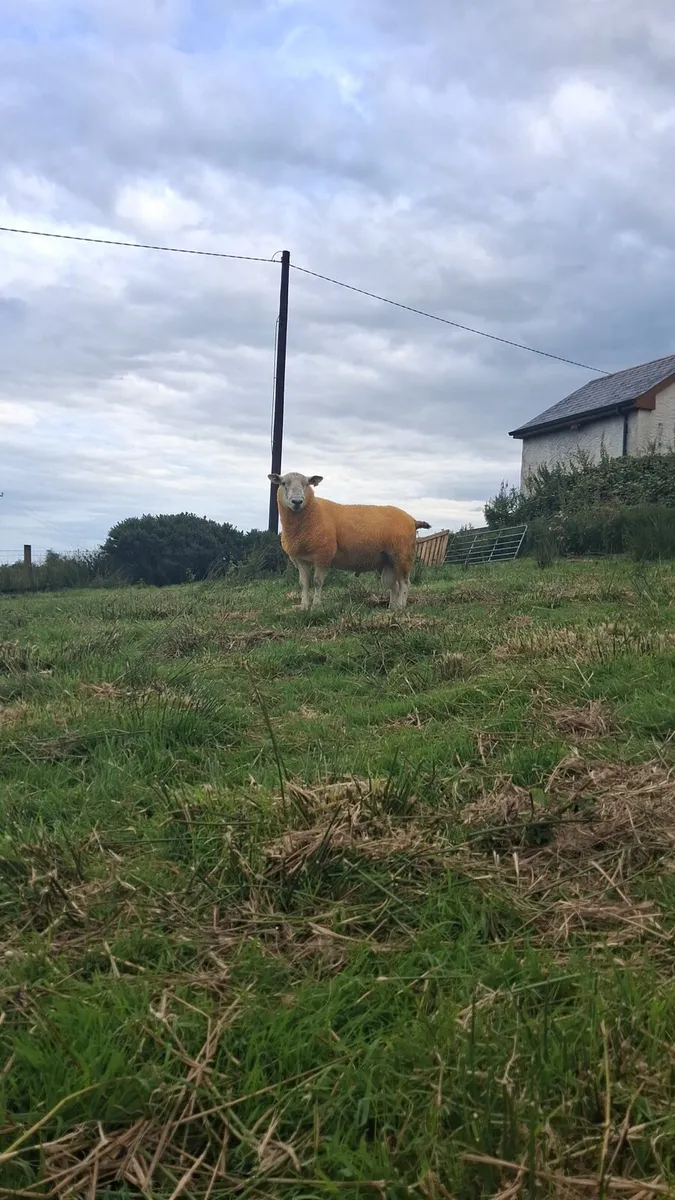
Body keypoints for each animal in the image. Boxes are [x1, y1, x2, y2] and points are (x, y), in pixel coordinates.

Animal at [268, 471, 431, 611]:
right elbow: (303, 584)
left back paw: (401, 607)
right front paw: (303, 606)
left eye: (306, 484)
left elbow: (317, 582)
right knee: (394, 585)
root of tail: (412, 519)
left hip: (403, 555)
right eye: (283, 483)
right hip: (388, 561)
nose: (297, 501)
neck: (313, 512)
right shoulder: (301, 560)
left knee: (404, 583)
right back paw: (392, 607)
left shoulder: (323, 555)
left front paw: (316, 606)